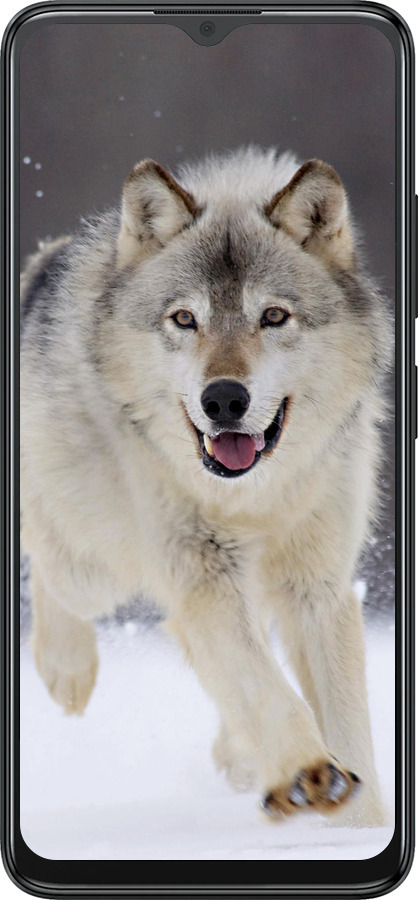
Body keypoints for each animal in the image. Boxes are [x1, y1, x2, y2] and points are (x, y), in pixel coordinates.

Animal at [20, 147, 391, 826]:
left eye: (273, 316)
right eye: (185, 319)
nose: (223, 399)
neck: (253, 497)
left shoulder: (316, 586)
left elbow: (346, 722)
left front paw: (359, 825)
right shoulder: (202, 573)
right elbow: (265, 686)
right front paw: (307, 773)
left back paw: (240, 757)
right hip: (97, 565)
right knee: (46, 555)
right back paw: (67, 670)